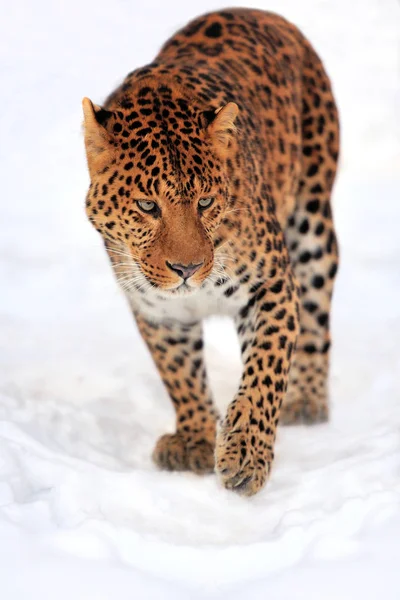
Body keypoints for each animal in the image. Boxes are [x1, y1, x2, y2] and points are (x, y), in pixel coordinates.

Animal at [83, 8, 340, 496]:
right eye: (148, 206)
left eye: (204, 202)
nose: (187, 268)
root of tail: (257, 11)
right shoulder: (156, 309)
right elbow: (180, 375)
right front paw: (196, 439)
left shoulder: (271, 285)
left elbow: (265, 369)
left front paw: (247, 454)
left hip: (313, 222)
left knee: (317, 318)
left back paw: (307, 402)